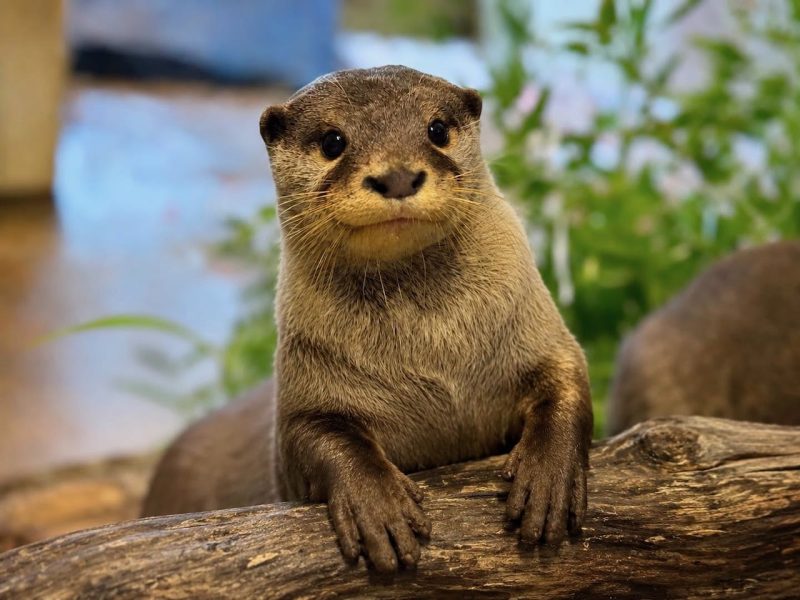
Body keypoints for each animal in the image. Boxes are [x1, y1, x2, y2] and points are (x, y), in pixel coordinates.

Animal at [143, 65, 592, 573]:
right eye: (333, 141)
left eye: (437, 130)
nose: (397, 176)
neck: (436, 358)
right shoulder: (302, 399)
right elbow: (319, 437)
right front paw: (376, 504)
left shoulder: (539, 335)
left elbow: (568, 381)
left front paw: (548, 478)